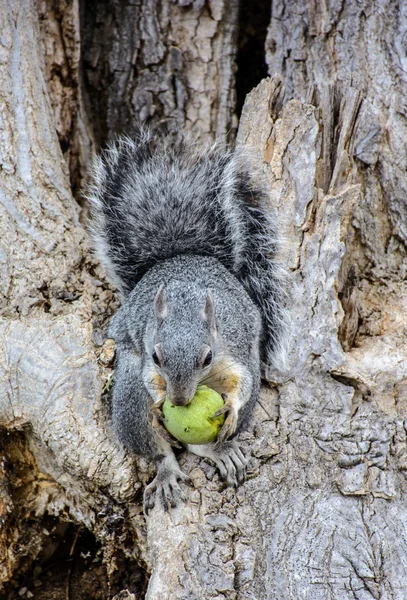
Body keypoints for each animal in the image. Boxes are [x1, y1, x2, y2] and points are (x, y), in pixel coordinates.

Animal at [88, 126, 288, 510]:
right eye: (156, 355)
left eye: (207, 357)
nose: (179, 401)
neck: (185, 303)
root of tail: (180, 256)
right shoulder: (145, 348)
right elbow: (150, 379)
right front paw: (160, 402)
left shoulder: (233, 347)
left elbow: (241, 382)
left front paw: (231, 408)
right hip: (129, 399)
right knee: (158, 448)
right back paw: (167, 468)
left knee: (202, 445)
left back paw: (220, 449)